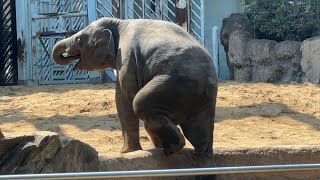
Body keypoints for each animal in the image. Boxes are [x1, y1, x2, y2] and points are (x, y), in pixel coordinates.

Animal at [52, 17, 219, 172]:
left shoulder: (126, 58)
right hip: (204, 98)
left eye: (79, 40)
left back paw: (172, 147)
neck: (119, 22)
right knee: (200, 135)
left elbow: (123, 98)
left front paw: (126, 152)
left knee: (140, 104)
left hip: (174, 84)